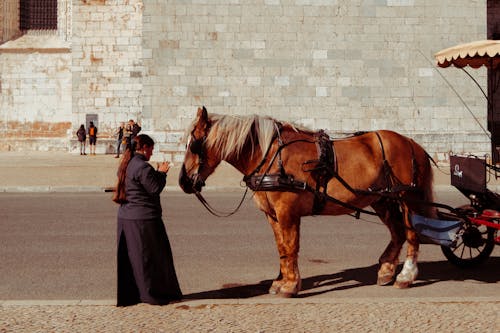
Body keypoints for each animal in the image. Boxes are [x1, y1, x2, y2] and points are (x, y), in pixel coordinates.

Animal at [179, 106, 434, 296]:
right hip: (381, 199)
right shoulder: (272, 214)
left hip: (409, 198)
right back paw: (386, 270)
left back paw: (405, 276)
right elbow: (281, 246)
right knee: (397, 232)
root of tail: (412, 143)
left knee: (411, 233)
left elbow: (291, 245)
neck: (271, 156)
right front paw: (281, 281)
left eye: (194, 144)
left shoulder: (287, 211)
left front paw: (290, 285)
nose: (183, 182)